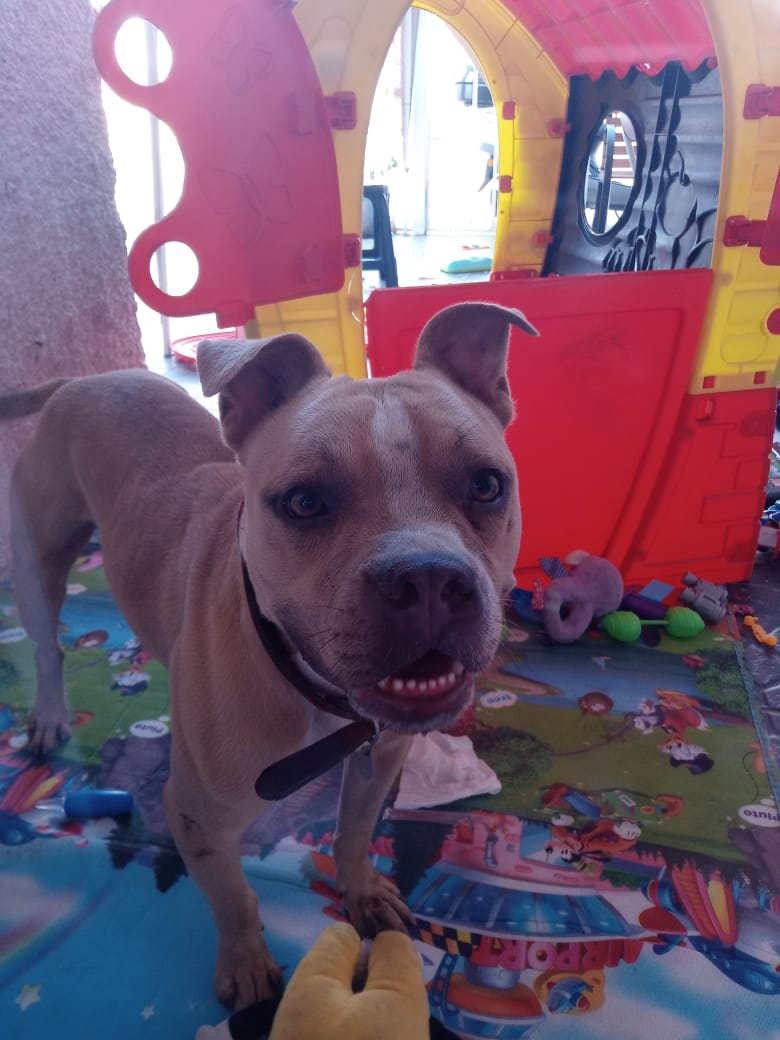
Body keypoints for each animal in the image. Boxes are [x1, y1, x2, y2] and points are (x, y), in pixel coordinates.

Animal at [2, 301, 537, 1008]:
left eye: (485, 486)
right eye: (304, 502)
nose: (425, 578)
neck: (309, 690)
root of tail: (81, 380)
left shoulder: (378, 761)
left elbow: (353, 833)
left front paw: (361, 891)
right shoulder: (198, 819)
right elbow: (234, 897)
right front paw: (248, 964)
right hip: (38, 567)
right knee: (46, 650)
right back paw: (50, 715)